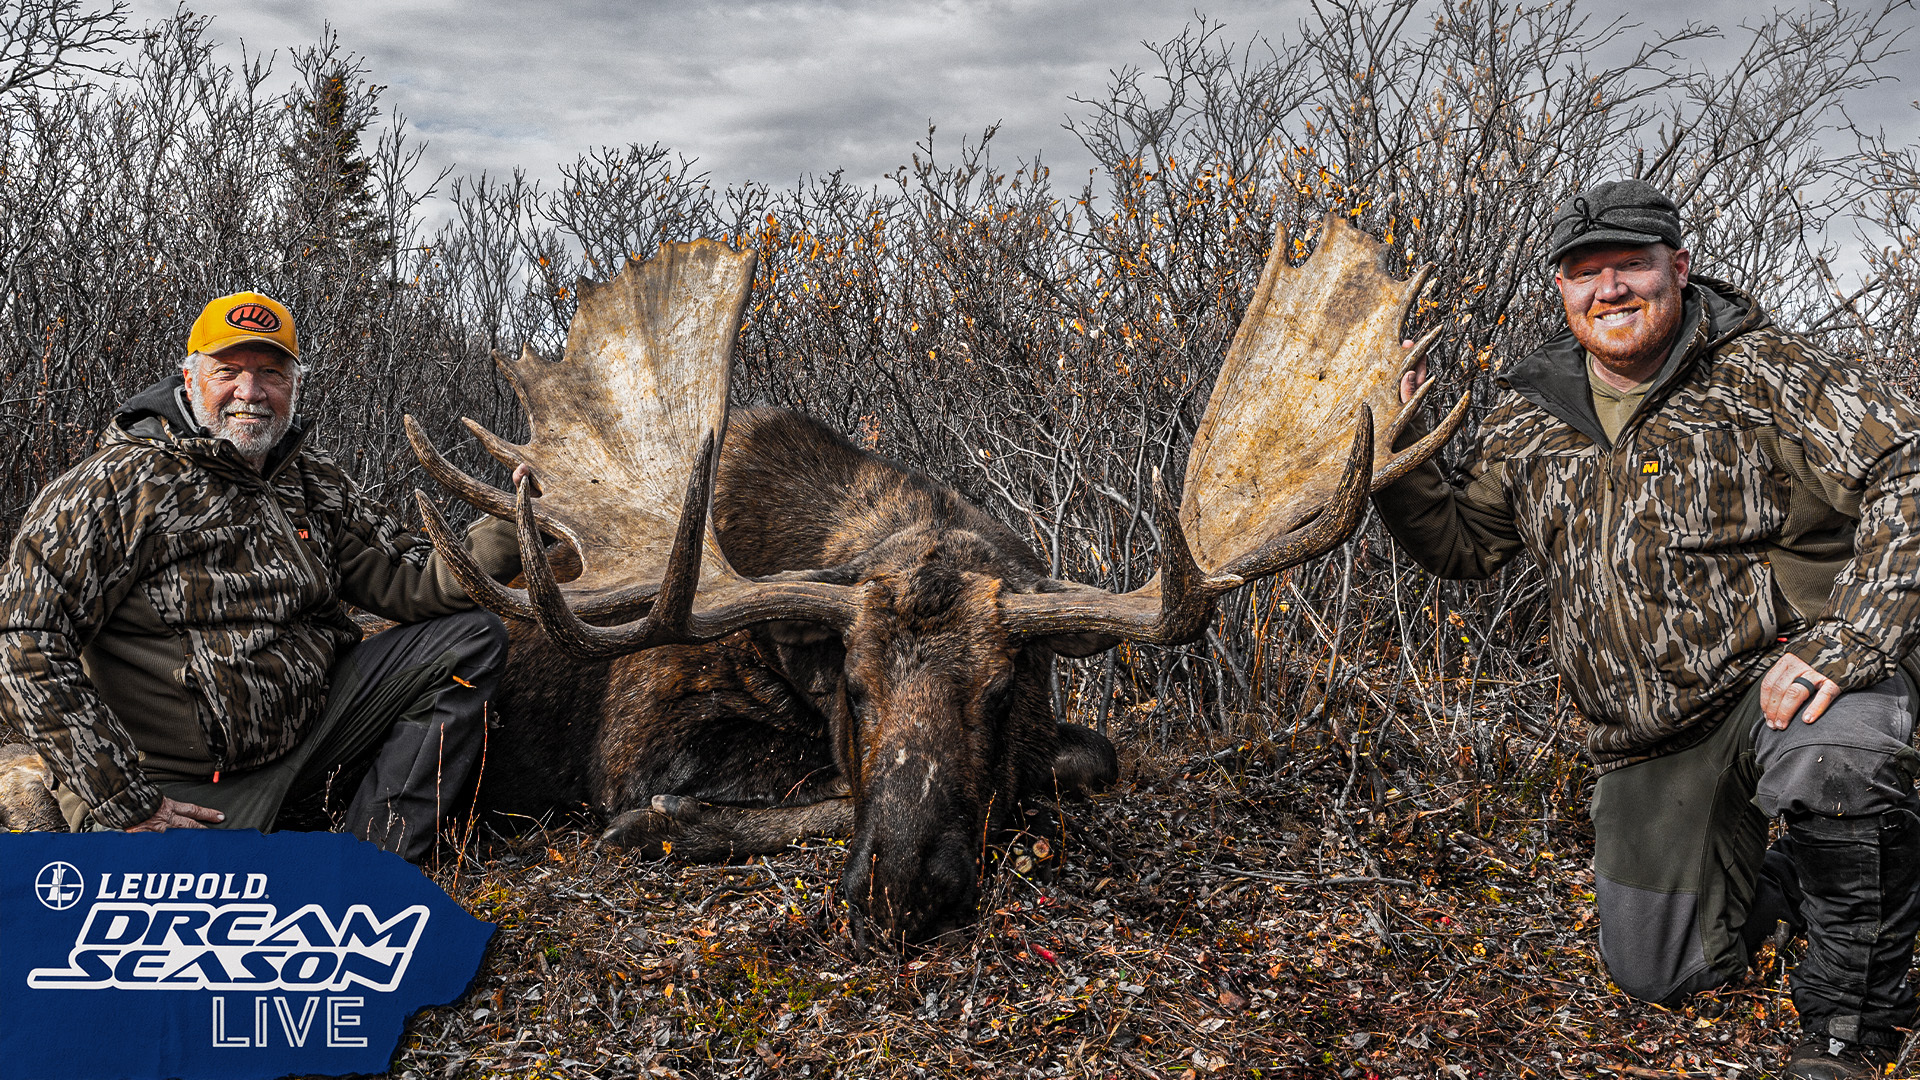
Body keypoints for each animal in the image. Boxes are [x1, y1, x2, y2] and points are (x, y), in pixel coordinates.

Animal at [402, 213, 1466, 947]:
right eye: (854, 686)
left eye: (1001, 691)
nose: (902, 886)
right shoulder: (642, 740)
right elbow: (778, 788)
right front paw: (673, 820)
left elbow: (1090, 758)